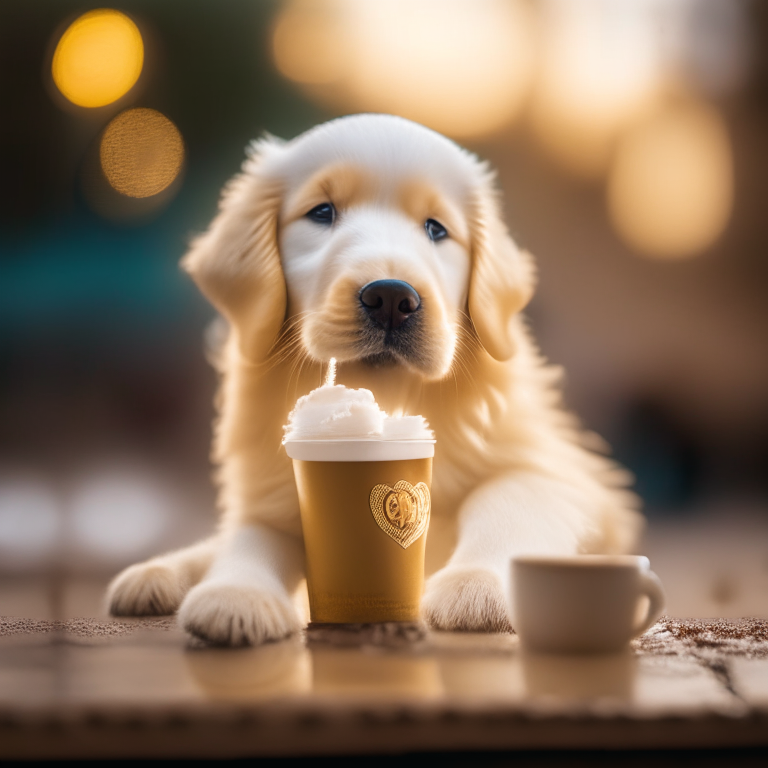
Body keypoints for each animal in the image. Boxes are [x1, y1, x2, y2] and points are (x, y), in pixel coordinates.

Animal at [105, 112, 640, 640]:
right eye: (321, 213)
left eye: (436, 229)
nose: (391, 298)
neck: (390, 393)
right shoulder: (273, 488)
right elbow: (253, 536)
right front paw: (238, 593)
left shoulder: (565, 476)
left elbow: (507, 496)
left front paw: (478, 583)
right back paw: (156, 574)